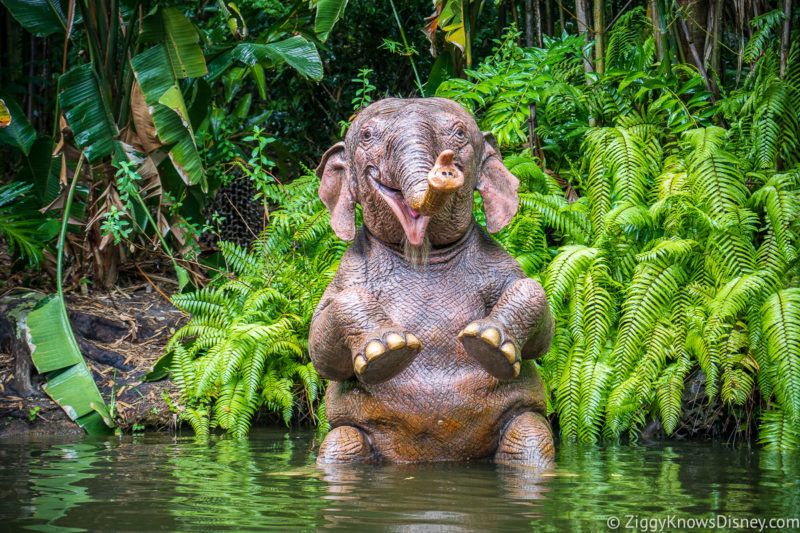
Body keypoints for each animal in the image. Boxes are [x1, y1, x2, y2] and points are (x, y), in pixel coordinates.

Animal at [310, 97, 552, 468]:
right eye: (366, 136)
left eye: (460, 133)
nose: (444, 167)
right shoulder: (347, 272)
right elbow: (322, 347)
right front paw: (387, 350)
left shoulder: (498, 264)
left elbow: (541, 322)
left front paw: (489, 342)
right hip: (348, 436)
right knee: (341, 445)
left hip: (523, 421)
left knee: (530, 439)